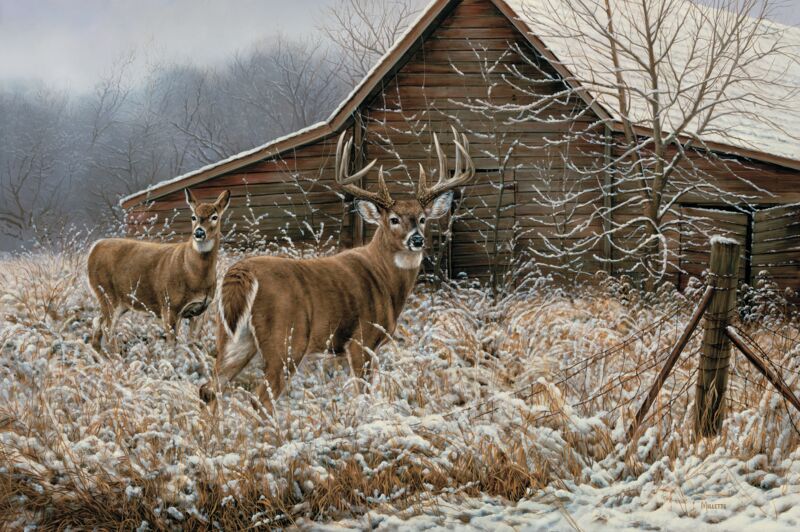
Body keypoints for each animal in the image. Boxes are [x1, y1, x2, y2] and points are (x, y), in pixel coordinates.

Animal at [87, 189, 231, 353]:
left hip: (119, 301)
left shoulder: (201, 309)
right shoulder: (169, 306)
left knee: (98, 322)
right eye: (193, 216)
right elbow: (172, 343)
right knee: (107, 327)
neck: (194, 274)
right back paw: (115, 356)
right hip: (107, 293)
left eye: (214, 217)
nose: (199, 233)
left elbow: (193, 343)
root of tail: (94, 248)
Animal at [199, 129, 475, 413]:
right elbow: (362, 392)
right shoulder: (361, 340)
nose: (417, 240)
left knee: (209, 388)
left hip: (233, 337)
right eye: (394, 219)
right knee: (259, 397)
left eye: (422, 218)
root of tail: (243, 273)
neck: (385, 280)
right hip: (287, 340)